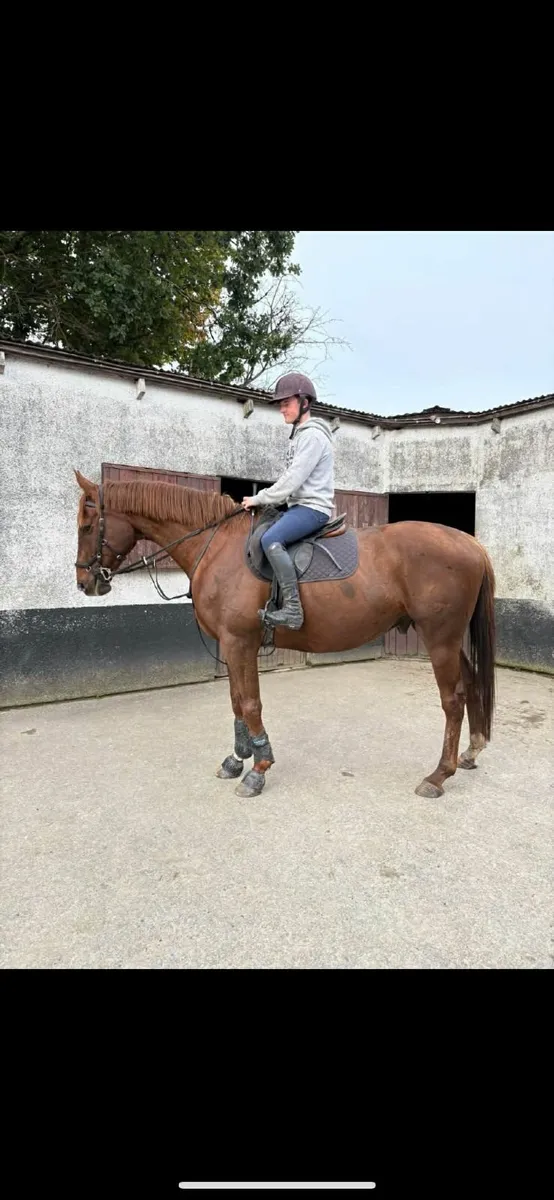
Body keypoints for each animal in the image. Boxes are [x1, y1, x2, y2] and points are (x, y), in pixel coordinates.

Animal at [74, 470, 496, 800]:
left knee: (453, 701)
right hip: (448, 640)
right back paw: (470, 753)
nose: (84, 583)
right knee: (472, 682)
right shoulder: (231, 645)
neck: (220, 546)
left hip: (439, 638)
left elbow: (250, 704)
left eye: (87, 525)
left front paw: (258, 768)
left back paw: (438, 775)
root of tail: (469, 542)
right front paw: (236, 759)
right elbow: (235, 702)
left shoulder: (240, 641)